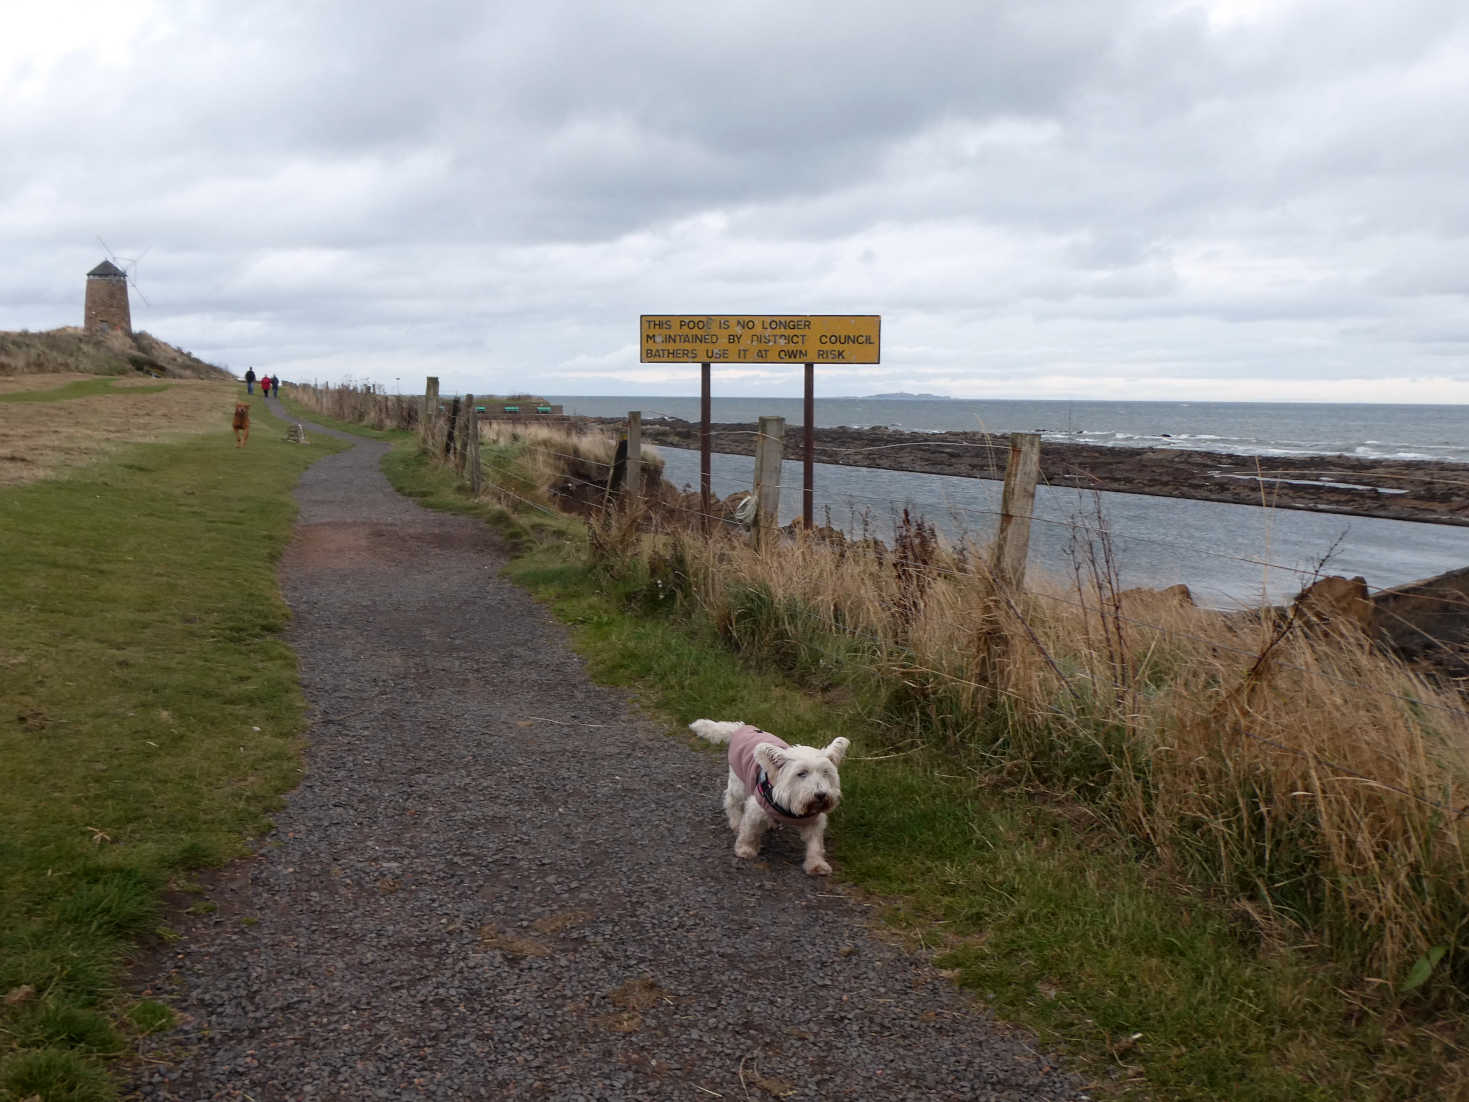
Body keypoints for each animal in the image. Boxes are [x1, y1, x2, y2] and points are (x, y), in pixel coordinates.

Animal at [687, 725, 852, 881]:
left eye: (825, 772)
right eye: (801, 773)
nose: (821, 795)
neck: (791, 805)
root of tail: (741, 727)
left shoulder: (814, 821)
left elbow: (815, 844)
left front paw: (817, 865)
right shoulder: (755, 808)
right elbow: (749, 831)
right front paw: (745, 849)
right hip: (738, 782)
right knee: (731, 801)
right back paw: (735, 822)